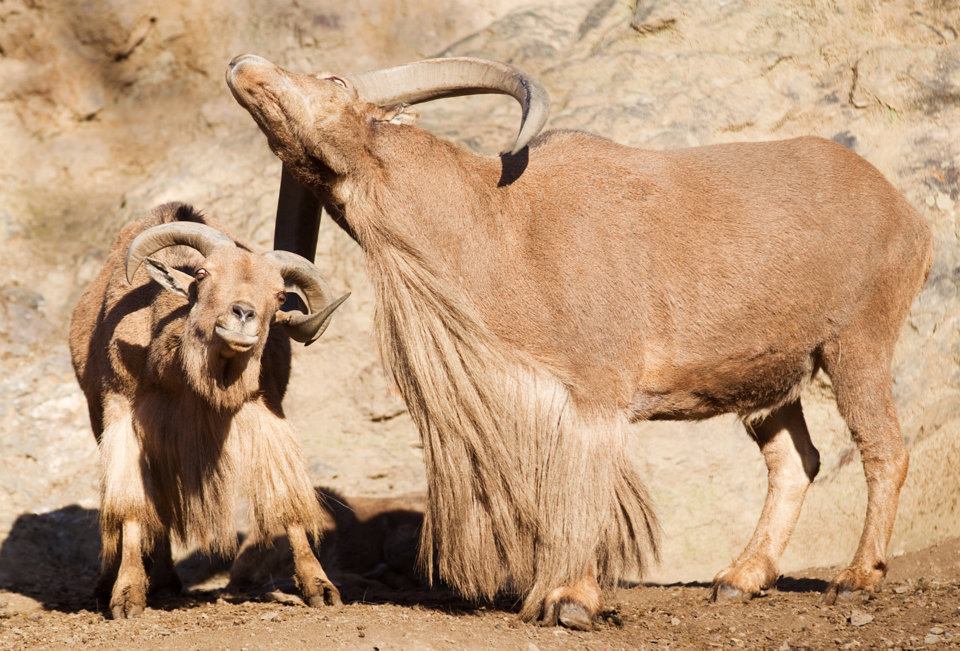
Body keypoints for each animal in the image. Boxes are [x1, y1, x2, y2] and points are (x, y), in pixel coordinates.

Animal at [70, 205, 348, 620]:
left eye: (281, 294)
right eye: (203, 274)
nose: (244, 315)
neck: (187, 379)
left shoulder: (267, 414)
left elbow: (287, 500)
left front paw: (320, 586)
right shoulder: (125, 417)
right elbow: (131, 507)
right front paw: (127, 595)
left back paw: (165, 582)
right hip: (99, 419)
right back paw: (120, 584)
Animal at [223, 57, 928, 632]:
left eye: (335, 82)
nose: (244, 66)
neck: (495, 223)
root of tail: (906, 213)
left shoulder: (592, 390)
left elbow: (583, 483)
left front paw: (569, 601)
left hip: (857, 344)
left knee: (885, 450)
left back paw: (856, 579)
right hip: (771, 379)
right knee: (795, 461)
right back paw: (738, 579)